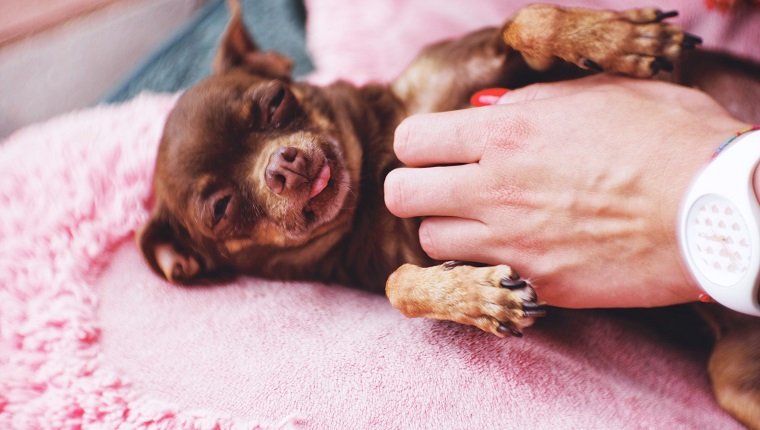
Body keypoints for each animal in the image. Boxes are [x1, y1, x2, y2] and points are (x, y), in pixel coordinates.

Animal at [137, 0, 760, 426]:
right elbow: (398, 285)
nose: (284, 166)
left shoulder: (505, 67)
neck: (375, 175)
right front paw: (472, 297)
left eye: (274, 102)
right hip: (736, 381)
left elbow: (524, 20)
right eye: (222, 208)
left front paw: (617, 36)